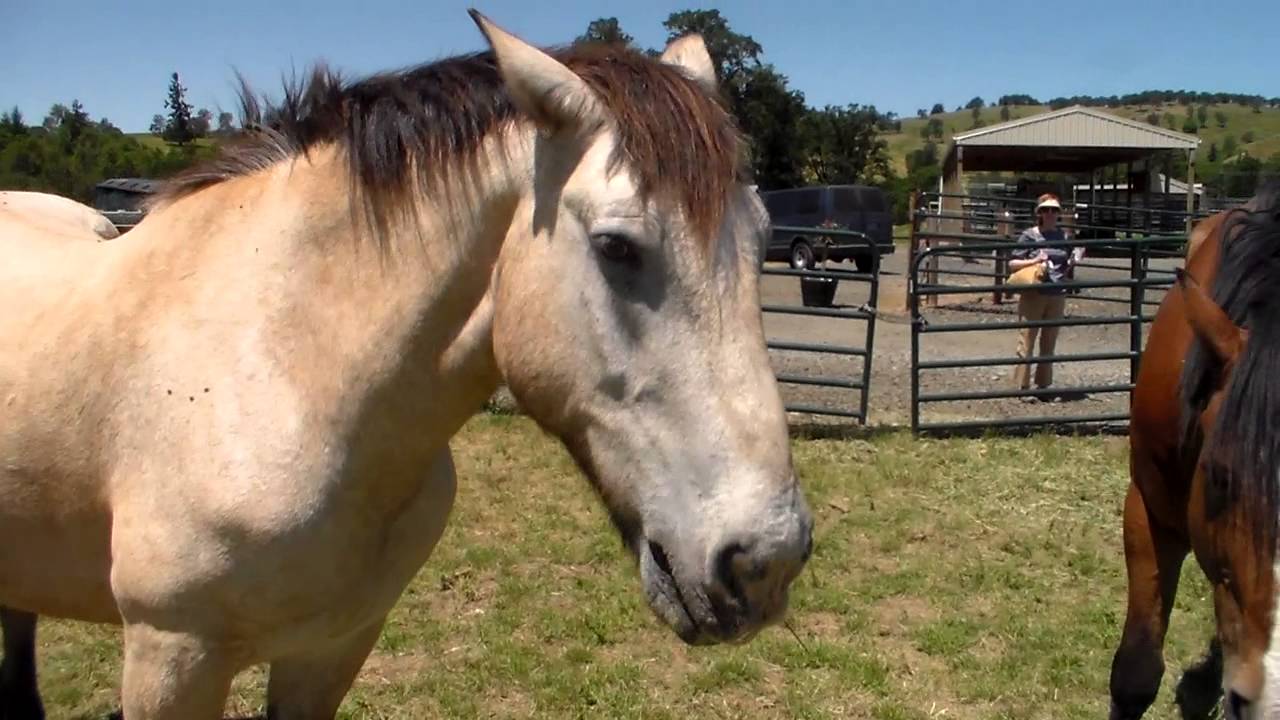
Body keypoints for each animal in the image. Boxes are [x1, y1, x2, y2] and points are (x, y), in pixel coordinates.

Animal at [0, 12, 814, 719]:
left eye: (762, 238)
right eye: (617, 246)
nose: (767, 561)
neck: (283, 365)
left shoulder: (332, 648)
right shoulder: (171, 659)